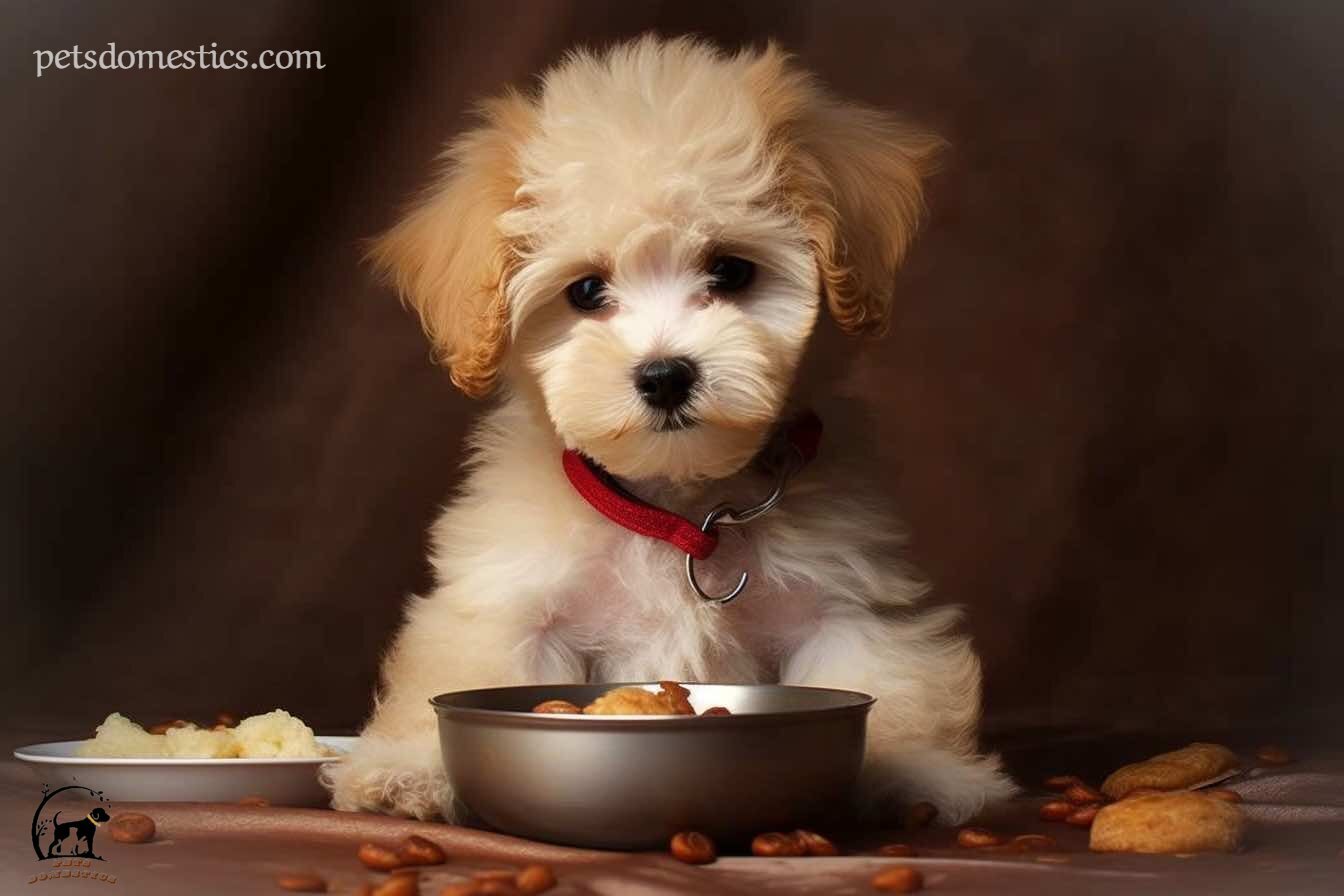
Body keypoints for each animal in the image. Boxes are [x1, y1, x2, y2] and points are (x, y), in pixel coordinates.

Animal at [325, 40, 1010, 827]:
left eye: (731, 271)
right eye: (586, 291)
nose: (664, 375)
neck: (679, 506)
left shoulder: (845, 600)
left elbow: (887, 679)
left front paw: (918, 771)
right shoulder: (514, 596)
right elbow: (477, 656)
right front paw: (408, 768)